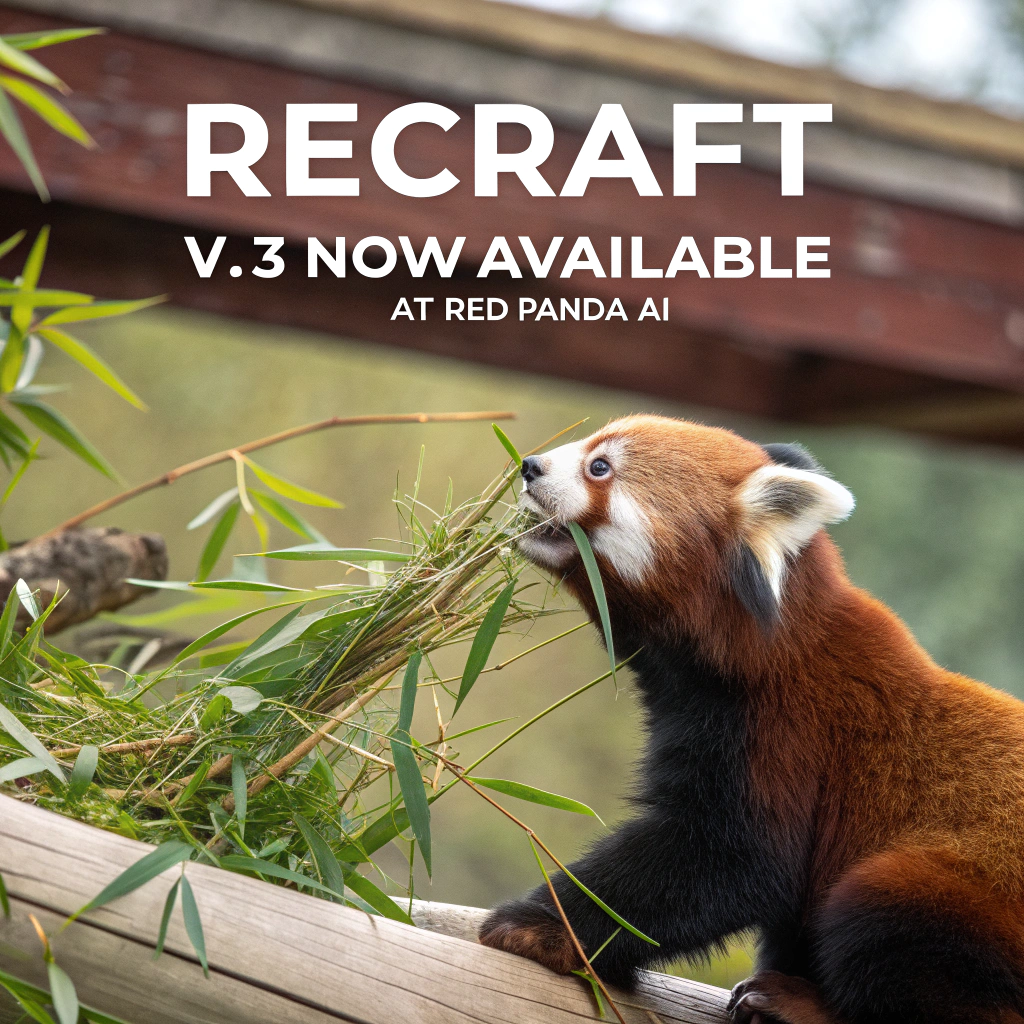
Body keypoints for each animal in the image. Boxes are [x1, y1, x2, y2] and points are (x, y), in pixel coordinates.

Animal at [479, 414, 1024, 1024]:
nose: (529, 466)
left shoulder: (785, 729)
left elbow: (729, 858)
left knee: (879, 917)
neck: (759, 647)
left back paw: (799, 1003)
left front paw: (537, 925)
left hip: (960, 889)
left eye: (600, 467)